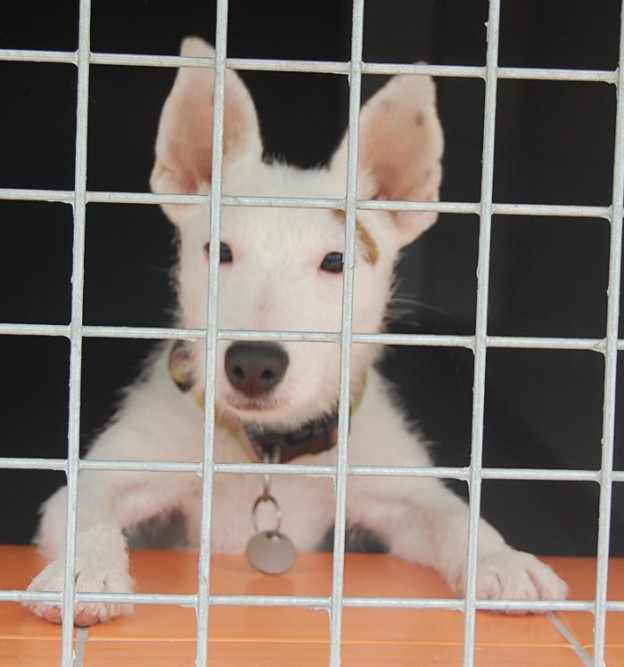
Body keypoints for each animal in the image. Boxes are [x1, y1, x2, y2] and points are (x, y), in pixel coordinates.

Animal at [26, 37, 568, 626]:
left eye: (336, 261)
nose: (253, 364)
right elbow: (86, 512)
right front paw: (84, 573)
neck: (269, 450)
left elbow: (452, 515)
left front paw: (505, 560)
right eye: (219, 251)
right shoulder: (110, 474)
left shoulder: (400, 490)